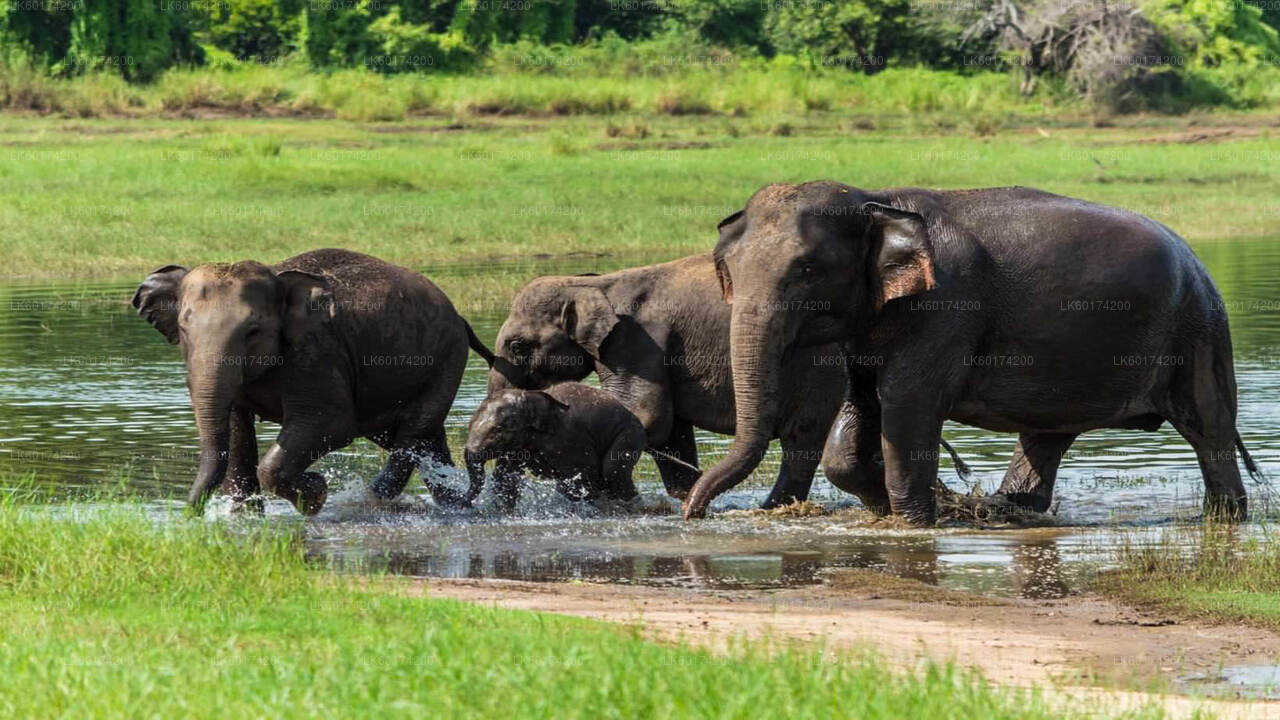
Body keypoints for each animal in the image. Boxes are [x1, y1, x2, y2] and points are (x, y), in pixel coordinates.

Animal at [129, 249, 488, 512]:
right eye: (184, 328)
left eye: (253, 331)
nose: (191, 515)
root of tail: (460, 318)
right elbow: (235, 427)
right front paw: (242, 517)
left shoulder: (316, 354)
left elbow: (333, 423)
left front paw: (315, 496)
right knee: (422, 439)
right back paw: (456, 506)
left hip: (447, 358)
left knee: (412, 434)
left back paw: (371, 500)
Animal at [458, 381, 645, 509]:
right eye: (469, 425)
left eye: (498, 430)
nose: (461, 504)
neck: (530, 396)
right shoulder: (518, 447)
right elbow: (505, 478)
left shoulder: (570, 440)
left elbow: (581, 480)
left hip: (629, 434)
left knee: (612, 472)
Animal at [686, 181, 1264, 525]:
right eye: (727, 271)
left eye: (807, 269)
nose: (694, 513)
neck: (877, 198)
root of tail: (1195, 258)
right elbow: (859, 408)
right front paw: (892, 508)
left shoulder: (947, 306)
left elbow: (907, 403)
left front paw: (915, 524)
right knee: (1047, 435)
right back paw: (1010, 511)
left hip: (1199, 329)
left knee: (1207, 427)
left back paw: (1224, 520)